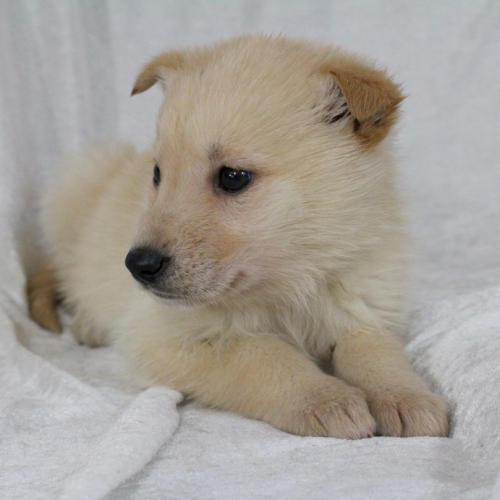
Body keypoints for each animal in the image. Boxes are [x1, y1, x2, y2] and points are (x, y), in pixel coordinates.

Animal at [27, 34, 450, 438]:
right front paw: (325, 398)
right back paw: (87, 323)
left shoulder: (364, 309)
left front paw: (405, 396)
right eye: (157, 173)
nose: (137, 265)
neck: (292, 283)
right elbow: (262, 354)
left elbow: (374, 352)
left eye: (233, 177)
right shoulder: (164, 338)